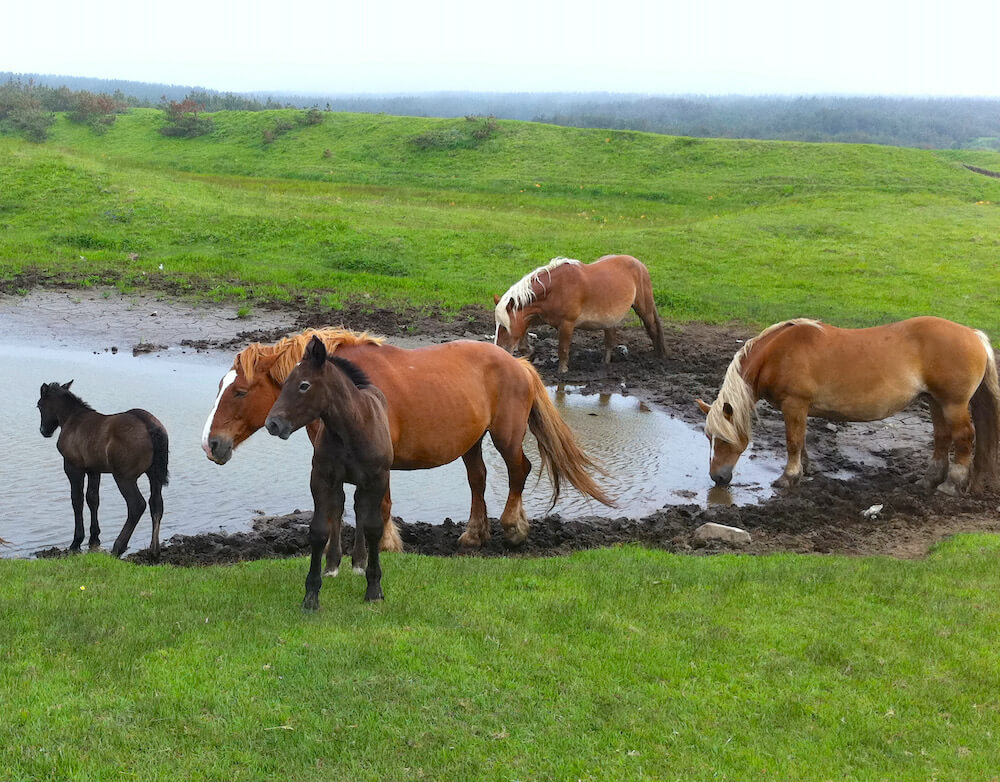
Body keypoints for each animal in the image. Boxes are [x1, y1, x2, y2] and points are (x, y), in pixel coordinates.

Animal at [36, 382, 168, 560]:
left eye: (39, 405)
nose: (44, 431)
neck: (71, 419)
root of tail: (151, 427)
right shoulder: (94, 469)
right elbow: (93, 499)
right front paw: (94, 538)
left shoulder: (73, 467)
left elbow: (77, 500)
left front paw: (76, 542)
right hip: (154, 474)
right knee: (156, 503)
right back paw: (154, 550)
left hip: (124, 476)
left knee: (137, 505)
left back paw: (118, 547)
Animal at [201, 328, 608, 572]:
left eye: (240, 392)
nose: (211, 443)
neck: (350, 394)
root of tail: (519, 364)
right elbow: (337, 507)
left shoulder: (379, 463)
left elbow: (379, 505)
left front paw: (387, 544)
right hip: (472, 442)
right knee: (478, 479)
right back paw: (474, 535)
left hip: (505, 435)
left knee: (518, 471)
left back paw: (513, 528)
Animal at [266, 336, 394, 608]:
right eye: (285, 383)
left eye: (304, 385)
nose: (273, 424)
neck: (352, 428)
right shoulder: (322, 479)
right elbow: (318, 530)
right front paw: (311, 595)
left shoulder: (377, 479)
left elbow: (374, 528)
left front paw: (374, 588)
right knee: (342, 507)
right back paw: (334, 565)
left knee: (360, 510)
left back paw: (359, 563)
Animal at [492, 253, 664, 372]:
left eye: (505, 327)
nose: (499, 351)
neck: (555, 289)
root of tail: (640, 264)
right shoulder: (538, 316)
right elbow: (524, 334)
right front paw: (529, 353)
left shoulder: (567, 324)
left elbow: (563, 349)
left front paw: (562, 371)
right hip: (610, 319)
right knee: (610, 340)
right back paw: (605, 363)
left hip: (644, 308)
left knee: (652, 329)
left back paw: (658, 358)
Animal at [696, 318, 1000, 496]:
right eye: (708, 438)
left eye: (723, 439)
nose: (717, 478)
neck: (777, 354)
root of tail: (974, 335)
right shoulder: (799, 409)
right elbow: (801, 441)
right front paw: (806, 469)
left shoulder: (794, 404)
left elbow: (793, 441)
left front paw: (789, 477)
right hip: (935, 401)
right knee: (942, 438)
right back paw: (929, 480)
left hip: (953, 404)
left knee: (964, 438)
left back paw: (951, 484)